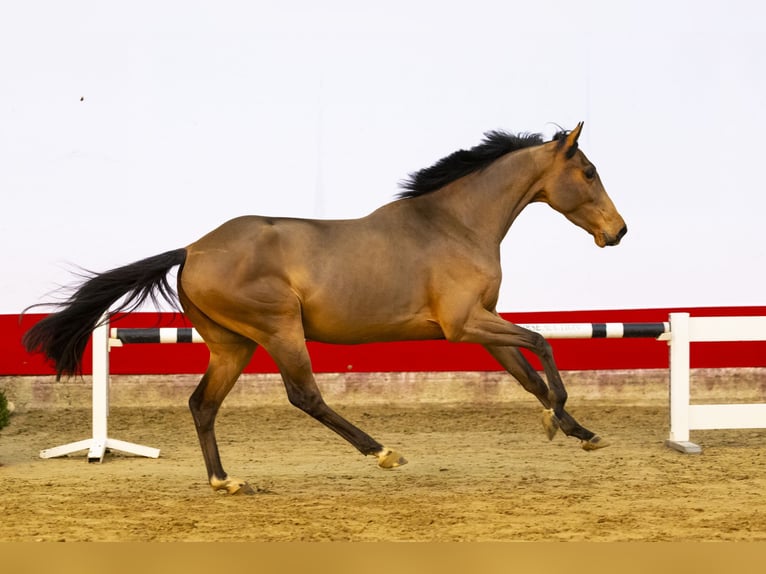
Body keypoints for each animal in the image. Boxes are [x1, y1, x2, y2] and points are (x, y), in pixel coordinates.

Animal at [24, 124, 628, 498]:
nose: (619, 231)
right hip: (279, 330)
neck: (455, 224)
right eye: (590, 171)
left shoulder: (482, 326)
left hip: (232, 345)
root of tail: (191, 250)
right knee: (304, 395)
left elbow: (528, 374)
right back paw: (382, 452)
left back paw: (226, 482)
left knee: (202, 404)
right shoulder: (464, 325)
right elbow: (543, 344)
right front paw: (560, 419)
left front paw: (576, 429)